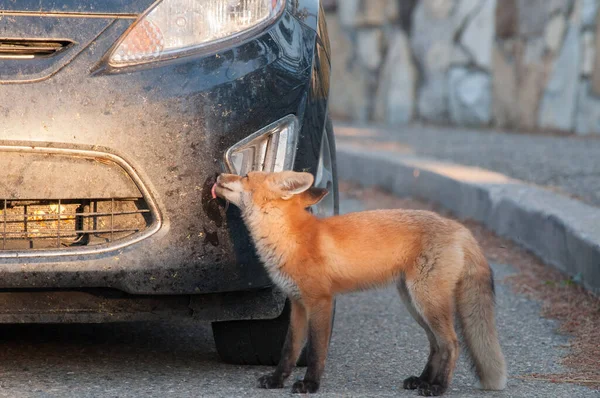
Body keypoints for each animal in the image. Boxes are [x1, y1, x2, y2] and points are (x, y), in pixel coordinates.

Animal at [211, 170, 506, 394]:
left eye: (246, 175)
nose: (217, 174)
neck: (291, 239)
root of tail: (459, 228)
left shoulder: (321, 301)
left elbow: (316, 351)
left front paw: (310, 384)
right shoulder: (297, 303)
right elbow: (289, 350)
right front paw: (276, 380)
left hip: (427, 302)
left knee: (452, 344)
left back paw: (438, 387)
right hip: (414, 303)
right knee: (436, 345)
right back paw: (423, 380)